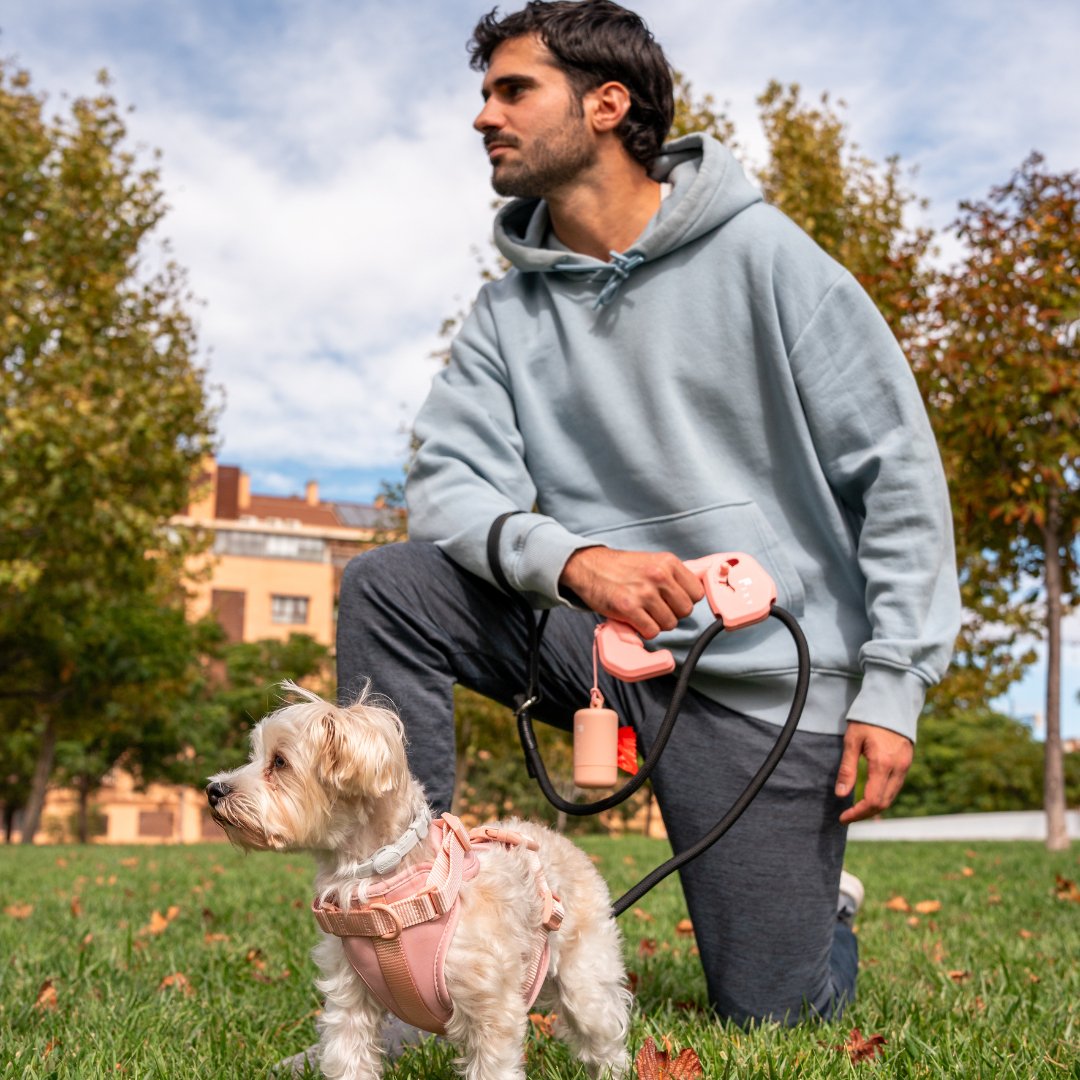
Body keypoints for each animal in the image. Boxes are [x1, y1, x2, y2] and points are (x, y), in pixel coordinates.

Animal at [205, 682, 630, 1080]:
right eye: (255, 756)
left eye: (279, 762)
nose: (213, 790)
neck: (382, 887)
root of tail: (558, 839)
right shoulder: (349, 997)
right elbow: (348, 1057)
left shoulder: (491, 1008)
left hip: (584, 981)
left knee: (605, 1037)